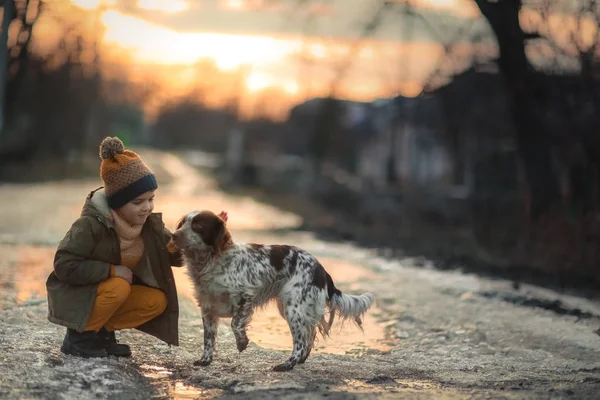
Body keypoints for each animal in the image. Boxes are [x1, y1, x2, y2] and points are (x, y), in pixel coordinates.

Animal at [170, 211, 376, 370]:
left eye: (197, 225)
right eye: (183, 223)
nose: (173, 235)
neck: (211, 261)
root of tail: (321, 270)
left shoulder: (244, 297)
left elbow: (235, 324)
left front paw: (242, 342)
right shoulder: (208, 307)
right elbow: (208, 339)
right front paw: (205, 360)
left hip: (294, 308)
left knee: (301, 341)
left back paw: (287, 364)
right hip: (291, 307)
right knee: (309, 335)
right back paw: (299, 360)